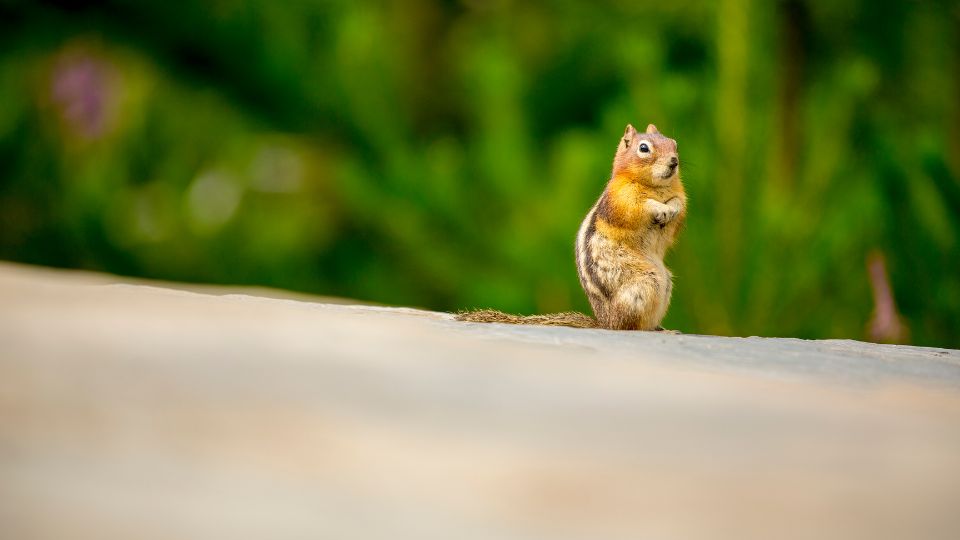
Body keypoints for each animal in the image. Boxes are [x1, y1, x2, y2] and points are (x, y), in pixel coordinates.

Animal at [458, 124, 684, 332]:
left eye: (674, 143)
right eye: (644, 148)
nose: (674, 161)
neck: (657, 188)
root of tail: (605, 321)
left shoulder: (678, 196)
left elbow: (679, 206)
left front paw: (671, 208)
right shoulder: (621, 200)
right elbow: (639, 208)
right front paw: (660, 208)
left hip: (665, 284)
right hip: (645, 284)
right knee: (629, 326)